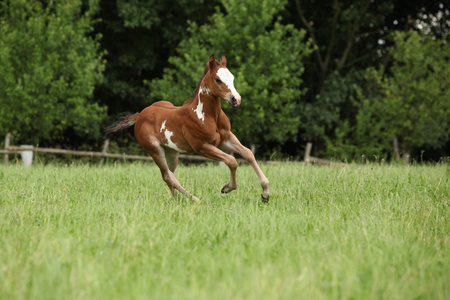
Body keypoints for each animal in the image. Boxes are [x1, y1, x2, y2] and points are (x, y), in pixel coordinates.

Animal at [104, 55, 270, 203]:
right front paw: (227, 188)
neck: (207, 115)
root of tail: (140, 115)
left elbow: (248, 153)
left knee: (169, 176)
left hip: (171, 152)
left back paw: (177, 201)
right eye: (218, 79)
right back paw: (195, 199)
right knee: (168, 176)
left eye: (232, 78)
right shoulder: (202, 147)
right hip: (155, 150)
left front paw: (265, 193)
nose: (236, 100)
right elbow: (232, 161)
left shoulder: (226, 138)